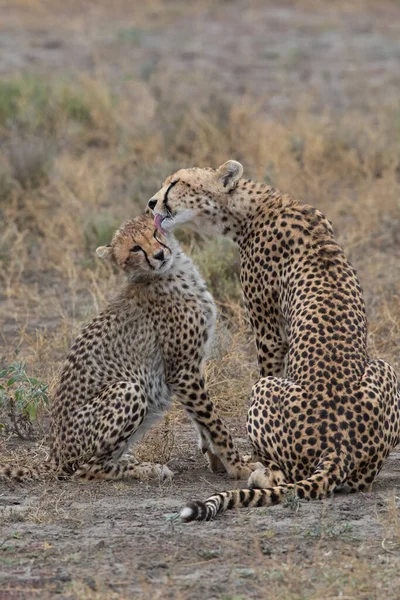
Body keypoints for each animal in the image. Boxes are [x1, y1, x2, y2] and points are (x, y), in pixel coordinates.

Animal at [0, 213, 256, 480]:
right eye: (135, 248)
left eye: (154, 233)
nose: (159, 255)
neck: (174, 272)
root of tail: (55, 454)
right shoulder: (182, 370)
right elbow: (213, 421)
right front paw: (238, 466)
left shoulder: (190, 369)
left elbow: (202, 421)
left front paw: (217, 461)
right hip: (128, 389)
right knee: (86, 470)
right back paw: (148, 468)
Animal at [148, 161, 400, 520]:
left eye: (176, 183)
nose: (151, 204)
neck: (254, 207)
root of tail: (339, 449)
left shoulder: (268, 333)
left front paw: (242, 459)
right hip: (385, 368)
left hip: (264, 390)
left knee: (287, 475)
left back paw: (261, 473)